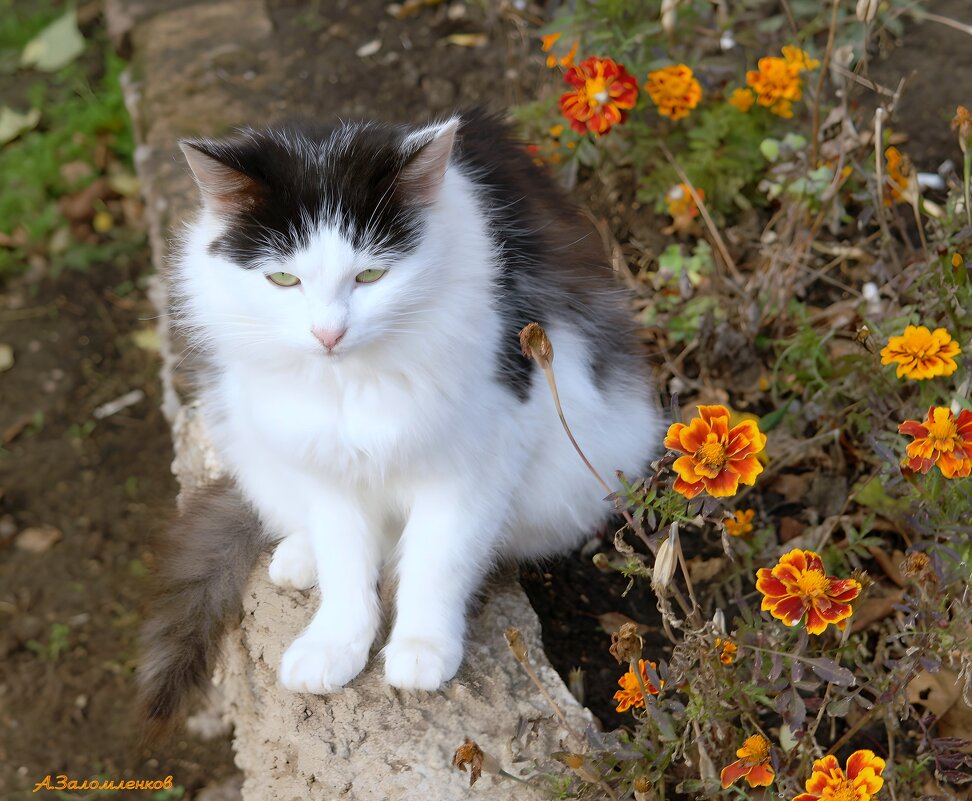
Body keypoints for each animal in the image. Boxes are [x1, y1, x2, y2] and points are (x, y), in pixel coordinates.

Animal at [139, 109, 660, 728]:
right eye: (284, 280)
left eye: (370, 277)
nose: (328, 334)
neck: (353, 385)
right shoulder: (325, 458)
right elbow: (344, 559)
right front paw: (334, 643)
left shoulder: (480, 454)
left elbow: (438, 558)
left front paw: (421, 647)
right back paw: (299, 555)